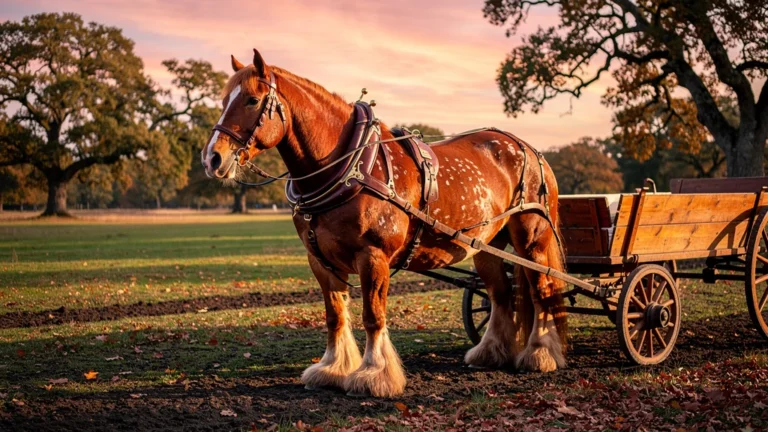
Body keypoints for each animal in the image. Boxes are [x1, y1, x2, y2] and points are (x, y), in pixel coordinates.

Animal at [201, 49, 567, 397]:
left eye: (252, 99)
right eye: (224, 100)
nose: (212, 158)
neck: (349, 167)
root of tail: (529, 148)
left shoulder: (372, 256)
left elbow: (373, 316)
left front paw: (374, 374)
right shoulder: (319, 260)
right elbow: (335, 315)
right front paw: (332, 368)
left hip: (532, 238)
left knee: (543, 290)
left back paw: (539, 354)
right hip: (487, 247)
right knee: (501, 294)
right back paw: (490, 353)